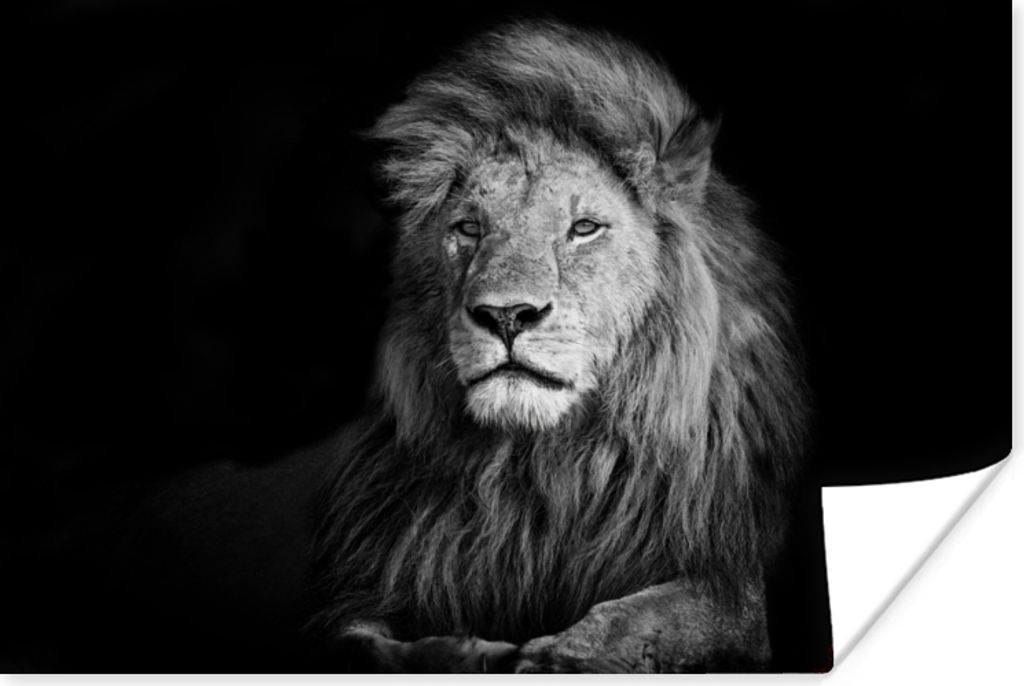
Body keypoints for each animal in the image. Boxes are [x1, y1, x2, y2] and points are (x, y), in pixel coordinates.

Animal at [307, 19, 808, 673]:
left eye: (583, 228)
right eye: (468, 228)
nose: (505, 315)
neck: (540, 469)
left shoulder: (733, 584)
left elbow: (645, 615)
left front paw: (555, 657)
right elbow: (359, 644)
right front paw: (464, 653)